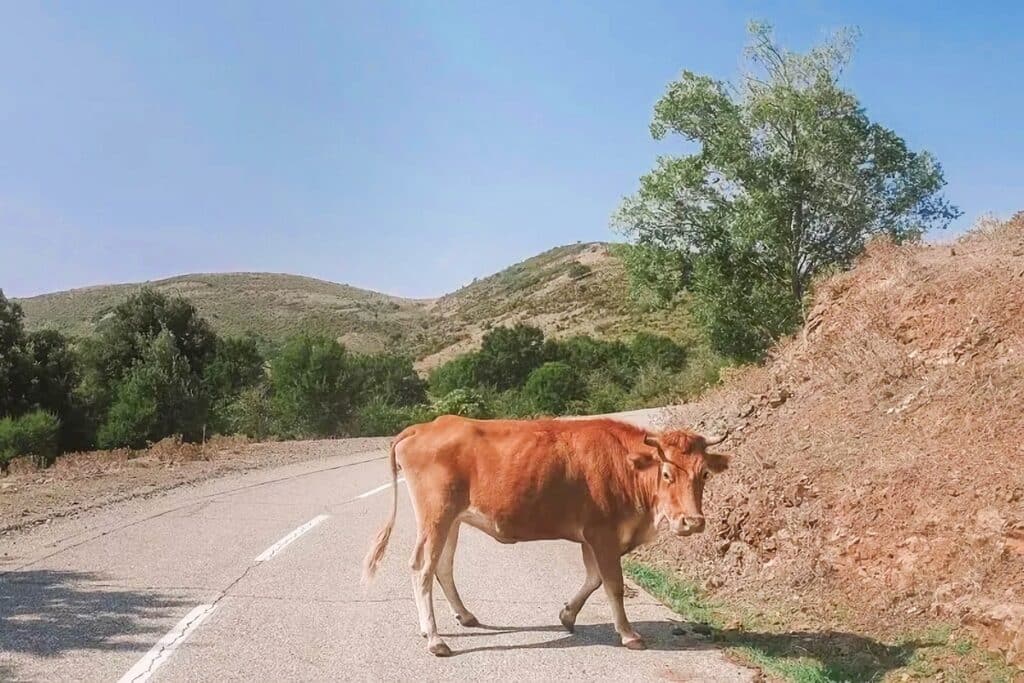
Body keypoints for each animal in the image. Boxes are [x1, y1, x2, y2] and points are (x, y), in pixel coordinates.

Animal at [360, 417, 729, 655]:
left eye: (704, 474)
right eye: (666, 473)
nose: (692, 521)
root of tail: (426, 426)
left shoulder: (589, 537)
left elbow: (593, 579)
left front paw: (568, 615)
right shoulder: (603, 533)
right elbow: (614, 584)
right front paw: (628, 634)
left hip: (452, 520)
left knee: (443, 567)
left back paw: (462, 617)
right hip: (435, 516)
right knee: (421, 569)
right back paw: (435, 639)